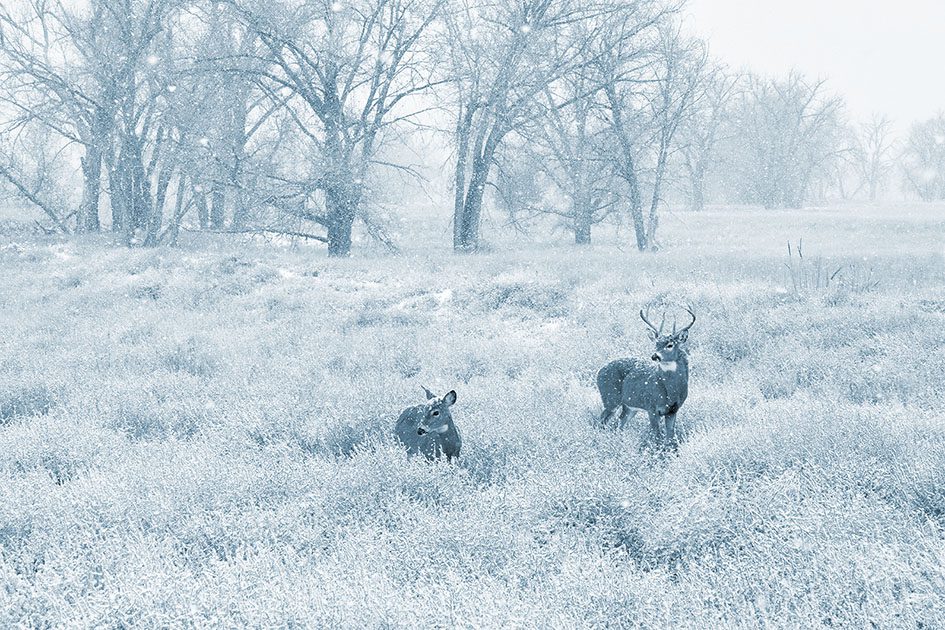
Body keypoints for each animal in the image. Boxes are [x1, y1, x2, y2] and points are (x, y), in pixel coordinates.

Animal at [596, 306, 692, 450]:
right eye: (656, 344)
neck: (671, 392)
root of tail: (599, 372)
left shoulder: (673, 410)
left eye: (670, 345)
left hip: (629, 406)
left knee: (620, 422)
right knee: (601, 421)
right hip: (610, 398)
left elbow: (670, 438)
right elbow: (657, 437)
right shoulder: (651, 407)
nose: (655, 356)